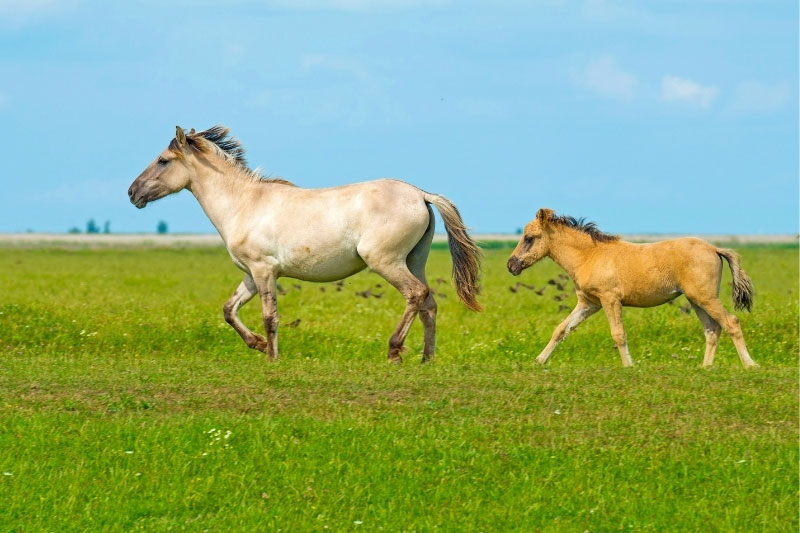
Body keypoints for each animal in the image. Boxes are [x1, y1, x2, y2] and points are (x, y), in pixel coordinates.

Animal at [128, 125, 481, 363]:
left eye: (162, 161)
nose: (132, 193)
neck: (244, 204)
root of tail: (421, 194)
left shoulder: (264, 270)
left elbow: (270, 317)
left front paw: (272, 358)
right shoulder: (251, 274)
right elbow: (229, 310)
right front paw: (257, 344)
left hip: (387, 262)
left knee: (415, 295)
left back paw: (394, 352)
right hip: (414, 261)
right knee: (429, 304)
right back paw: (426, 359)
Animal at [507, 208, 757, 368]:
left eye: (529, 238)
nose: (511, 265)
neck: (589, 256)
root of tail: (714, 248)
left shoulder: (609, 299)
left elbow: (618, 334)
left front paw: (629, 366)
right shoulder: (589, 304)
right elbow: (561, 329)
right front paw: (539, 361)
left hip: (705, 297)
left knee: (731, 323)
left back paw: (750, 364)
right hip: (695, 300)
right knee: (712, 329)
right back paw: (705, 368)